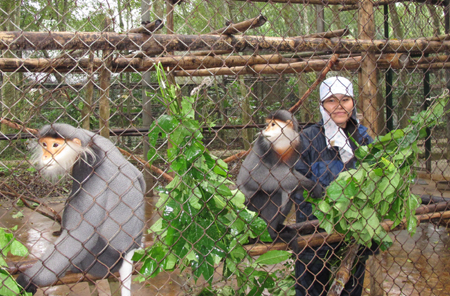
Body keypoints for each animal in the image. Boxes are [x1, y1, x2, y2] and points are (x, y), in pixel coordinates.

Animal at [16, 124, 144, 296]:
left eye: (55, 145)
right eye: (44, 144)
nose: (45, 156)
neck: (89, 144)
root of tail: (129, 252)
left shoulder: (88, 165)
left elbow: (80, 234)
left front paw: (28, 279)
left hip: (101, 260)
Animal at [237, 110, 322, 253]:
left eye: (273, 124)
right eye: (267, 124)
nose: (265, 129)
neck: (282, 143)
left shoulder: (297, 144)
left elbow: (291, 171)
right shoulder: (262, 144)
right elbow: (250, 177)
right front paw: (308, 184)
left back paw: (279, 229)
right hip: (249, 211)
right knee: (273, 192)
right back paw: (271, 234)